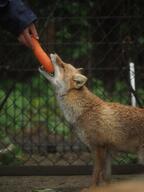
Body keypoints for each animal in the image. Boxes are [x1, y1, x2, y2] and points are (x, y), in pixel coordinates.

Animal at [39, 53, 144, 191]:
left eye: (62, 66)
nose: (54, 54)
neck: (85, 110)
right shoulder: (107, 149)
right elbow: (106, 177)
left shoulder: (98, 147)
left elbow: (96, 174)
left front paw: (92, 188)